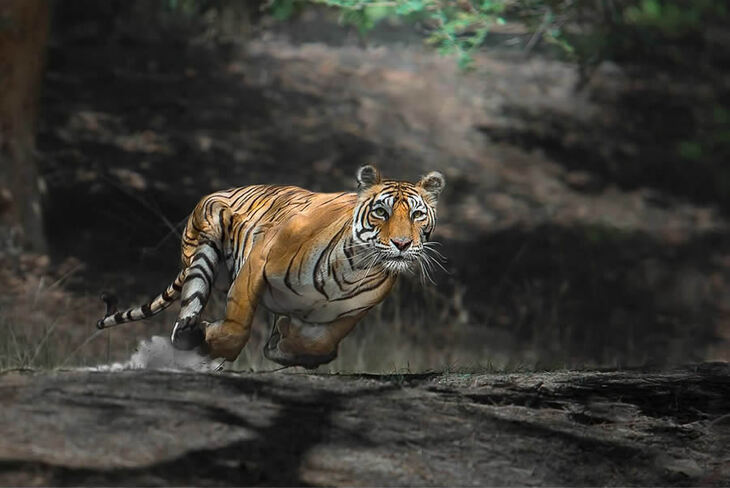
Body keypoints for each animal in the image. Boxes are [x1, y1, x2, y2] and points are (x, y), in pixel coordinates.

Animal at [96, 166, 444, 368]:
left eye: (417, 215)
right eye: (381, 212)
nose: (402, 243)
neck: (355, 268)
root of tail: (221, 189)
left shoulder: (353, 312)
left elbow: (320, 343)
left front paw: (285, 344)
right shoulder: (256, 265)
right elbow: (236, 328)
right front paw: (211, 339)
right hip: (203, 249)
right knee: (184, 317)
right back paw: (190, 341)